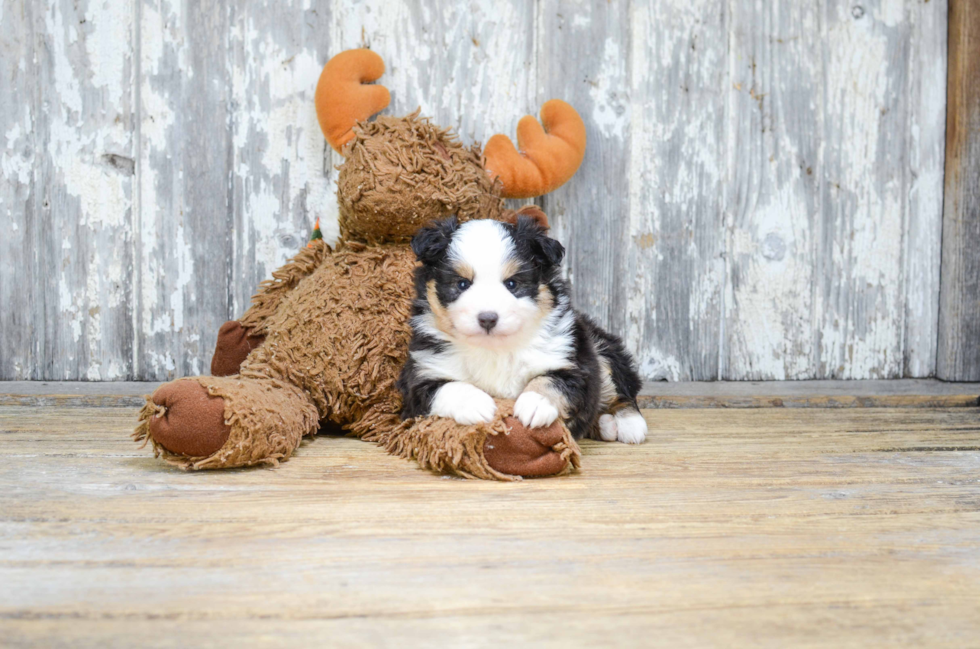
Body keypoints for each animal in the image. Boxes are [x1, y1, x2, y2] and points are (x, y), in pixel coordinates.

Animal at [394, 210, 648, 442]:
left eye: (512, 284)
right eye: (462, 284)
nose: (488, 318)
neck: (494, 350)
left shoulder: (575, 365)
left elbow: (551, 381)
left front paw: (536, 403)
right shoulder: (418, 378)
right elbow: (447, 387)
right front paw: (475, 403)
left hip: (600, 347)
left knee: (623, 389)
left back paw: (628, 425)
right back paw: (606, 425)